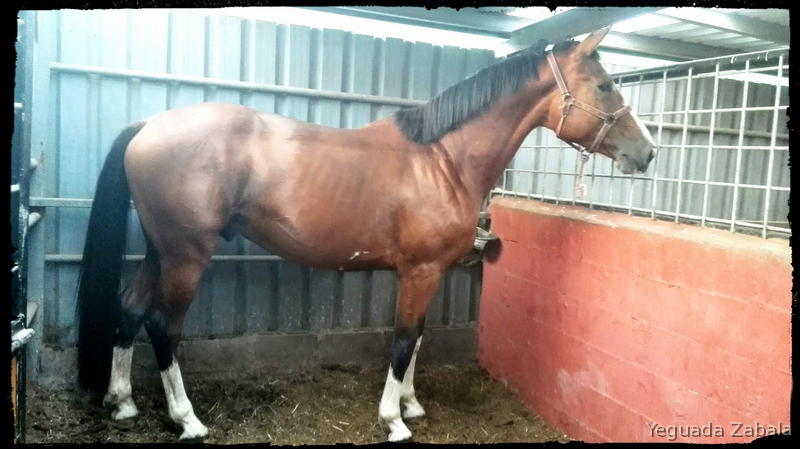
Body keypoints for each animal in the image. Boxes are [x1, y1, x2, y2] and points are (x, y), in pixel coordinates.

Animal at [76, 28, 655, 442]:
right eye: (606, 85)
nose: (647, 151)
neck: (443, 160)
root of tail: (148, 126)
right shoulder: (419, 271)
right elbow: (402, 340)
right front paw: (393, 420)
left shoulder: (428, 272)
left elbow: (417, 338)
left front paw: (412, 405)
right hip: (186, 257)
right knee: (162, 326)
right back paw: (188, 420)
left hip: (162, 252)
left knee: (129, 309)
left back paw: (122, 401)